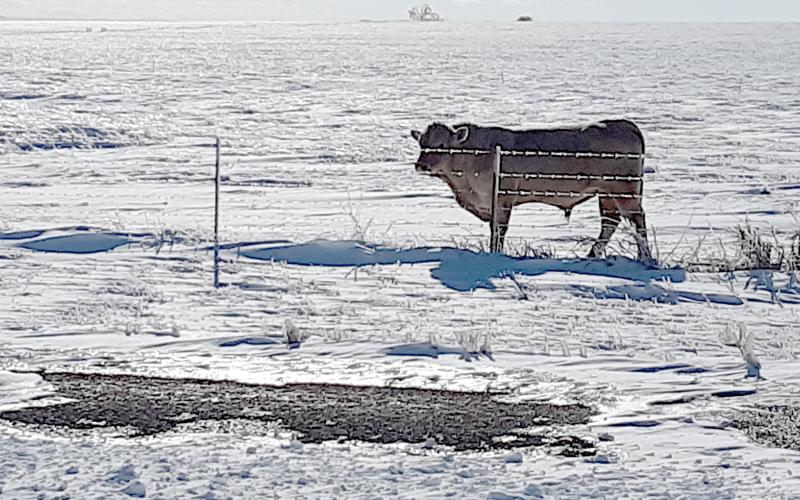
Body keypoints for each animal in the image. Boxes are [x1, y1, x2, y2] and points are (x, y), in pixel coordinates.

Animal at [410, 119, 652, 262]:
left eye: (442, 145)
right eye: (422, 144)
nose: (420, 165)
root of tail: (623, 124)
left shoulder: (502, 198)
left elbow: (498, 231)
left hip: (624, 190)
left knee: (636, 220)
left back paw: (645, 257)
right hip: (606, 194)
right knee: (610, 222)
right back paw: (591, 255)